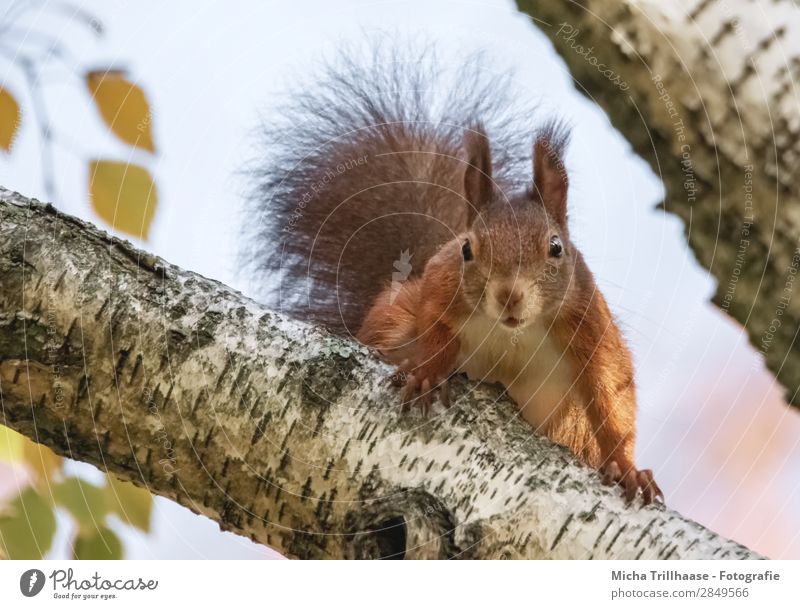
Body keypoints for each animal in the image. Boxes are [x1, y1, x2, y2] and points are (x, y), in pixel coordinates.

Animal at [248, 48, 664, 504]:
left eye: (556, 247)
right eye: (467, 249)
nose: (509, 296)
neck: (512, 333)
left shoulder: (588, 322)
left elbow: (611, 397)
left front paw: (627, 468)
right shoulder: (439, 285)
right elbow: (435, 328)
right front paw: (429, 373)